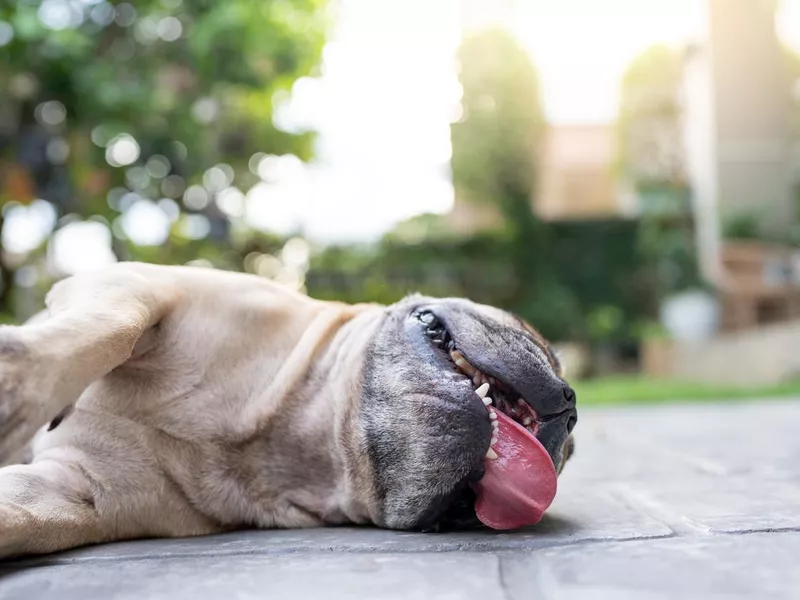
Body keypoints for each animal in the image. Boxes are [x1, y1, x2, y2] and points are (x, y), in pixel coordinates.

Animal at [0, 262, 576, 556]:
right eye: (542, 344)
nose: (570, 415)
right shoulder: (138, 285)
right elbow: (111, 327)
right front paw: (20, 381)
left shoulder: (68, 490)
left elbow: (23, 514)